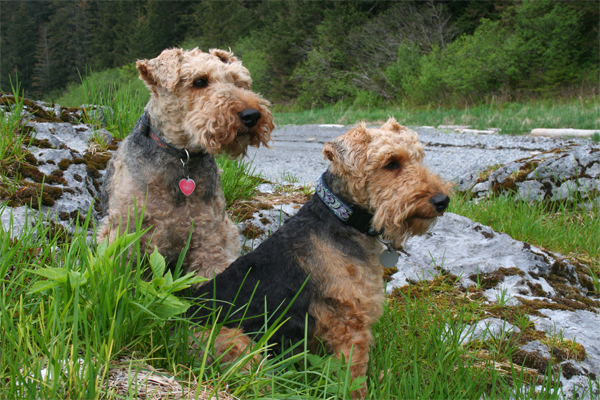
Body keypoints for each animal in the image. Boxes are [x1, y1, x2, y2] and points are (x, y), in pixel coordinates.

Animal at [98, 47, 274, 282]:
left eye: (239, 81)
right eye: (199, 81)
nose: (251, 115)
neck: (182, 157)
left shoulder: (208, 232)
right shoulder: (125, 229)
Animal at [188, 117, 450, 398]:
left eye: (419, 157)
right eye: (391, 163)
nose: (442, 200)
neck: (342, 217)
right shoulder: (349, 323)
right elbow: (354, 374)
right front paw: (362, 391)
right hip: (236, 344)